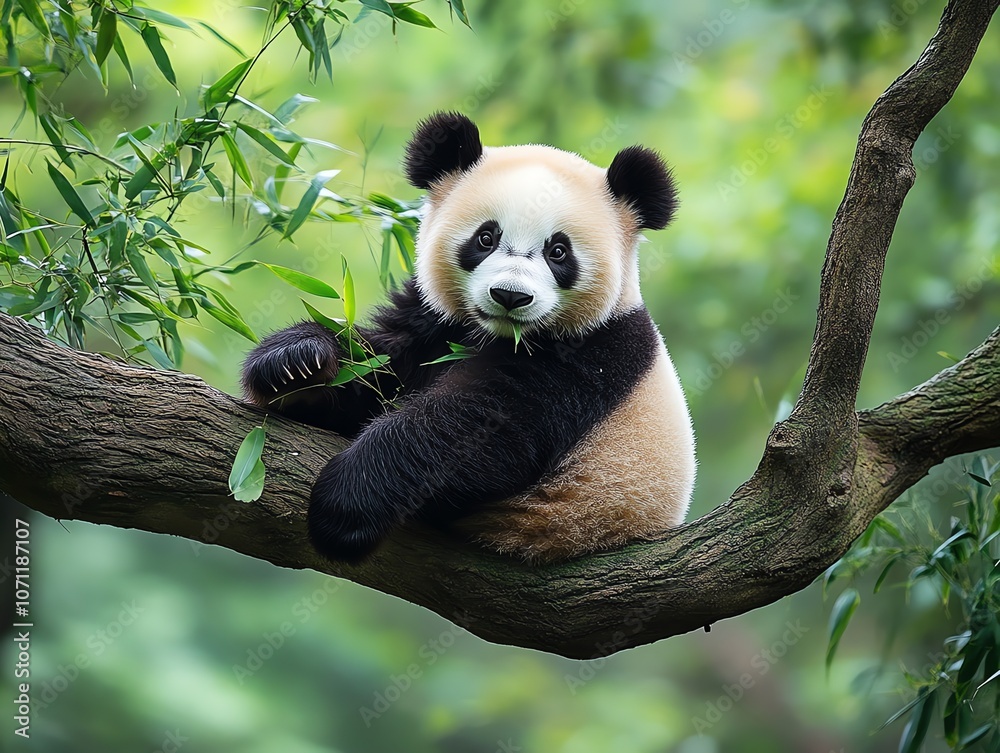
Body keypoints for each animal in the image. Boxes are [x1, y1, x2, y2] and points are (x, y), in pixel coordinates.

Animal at [241, 112, 696, 565]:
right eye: (486, 237)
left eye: (558, 251)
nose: (510, 296)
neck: (495, 333)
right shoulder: (433, 322)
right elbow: (378, 370)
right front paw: (295, 364)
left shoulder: (590, 354)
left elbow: (480, 427)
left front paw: (346, 504)